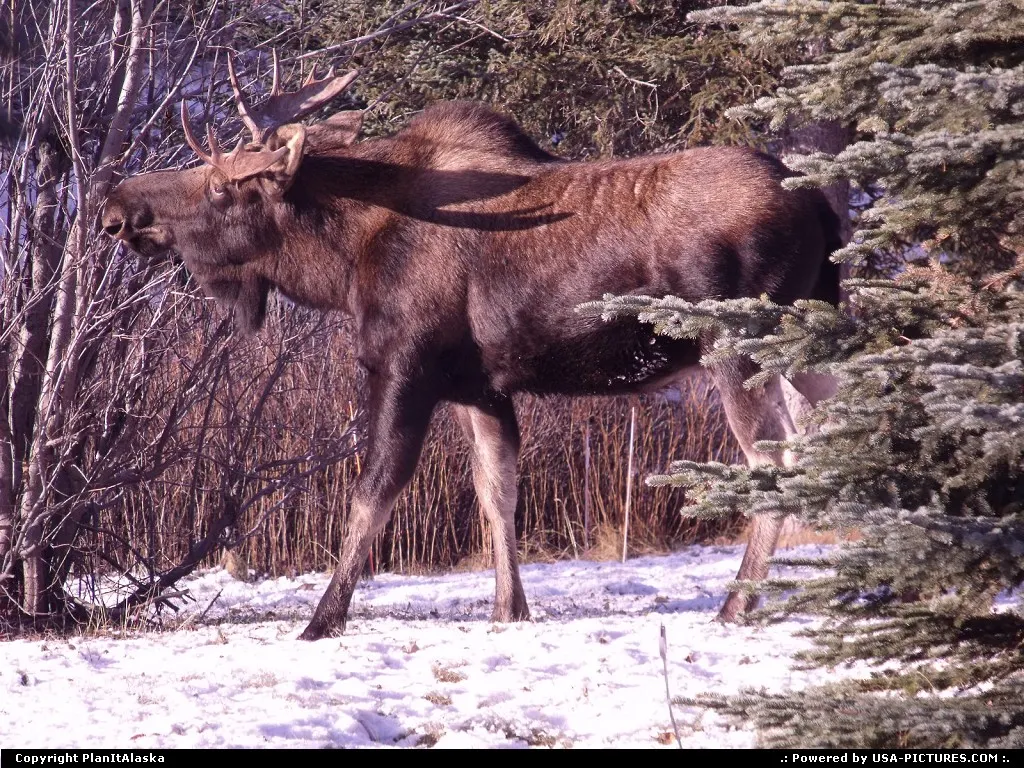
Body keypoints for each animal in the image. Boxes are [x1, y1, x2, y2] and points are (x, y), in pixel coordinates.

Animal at [101, 55, 841, 641]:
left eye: (220, 185)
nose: (115, 209)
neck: (343, 263)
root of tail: (824, 208)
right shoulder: (480, 386)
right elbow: (497, 492)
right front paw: (508, 610)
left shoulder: (406, 367)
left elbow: (374, 493)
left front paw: (322, 619)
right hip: (816, 335)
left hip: (737, 340)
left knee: (772, 459)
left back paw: (737, 605)